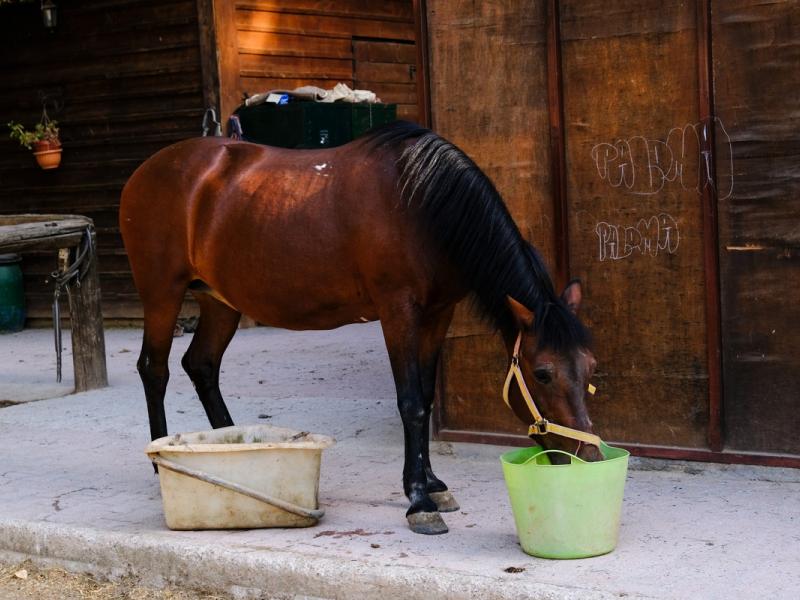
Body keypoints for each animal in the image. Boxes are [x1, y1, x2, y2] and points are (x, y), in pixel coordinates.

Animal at [120, 120, 600, 536]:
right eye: (542, 373)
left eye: (590, 367)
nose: (590, 455)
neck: (422, 206)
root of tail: (147, 170)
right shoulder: (397, 311)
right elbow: (410, 403)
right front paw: (418, 500)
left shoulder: (437, 313)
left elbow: (426, 398)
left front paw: (433, 484)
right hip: (162, 294)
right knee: (154, 369)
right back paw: (159, 460)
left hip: (220, 301)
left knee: (201, 365)